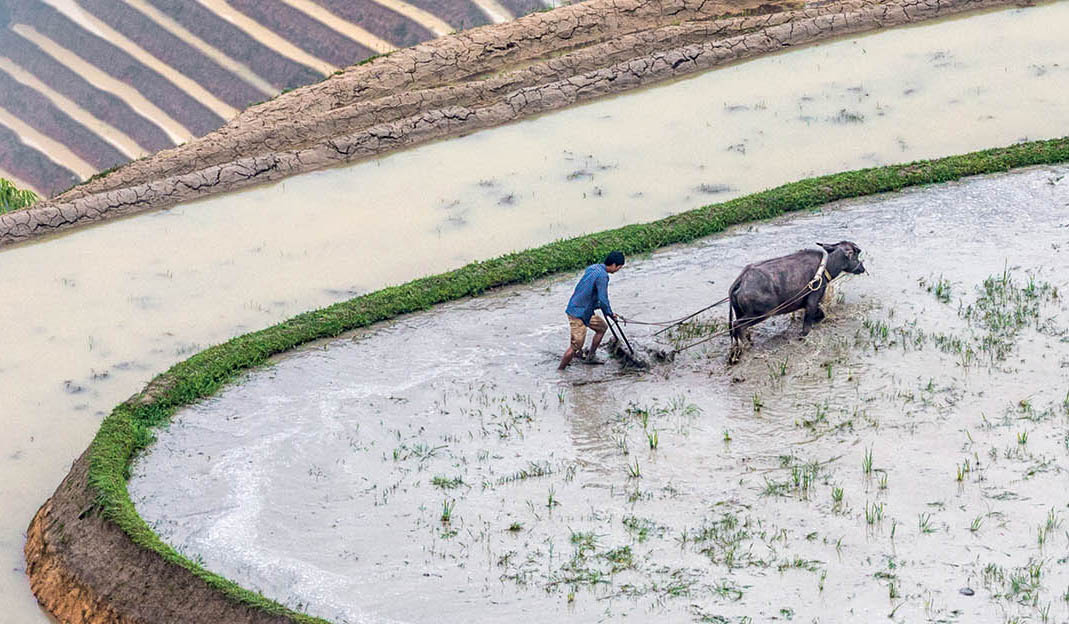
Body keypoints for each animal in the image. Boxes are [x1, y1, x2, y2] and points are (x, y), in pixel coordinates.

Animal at [726, 241, 868, 363]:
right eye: (856, 255)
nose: (862, 268)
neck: (825, 267)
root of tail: (742, 279)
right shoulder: (812, 302)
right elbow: (807, 326)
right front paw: (803, 335)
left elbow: (821, 314)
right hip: (761, 313)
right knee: (737, 325)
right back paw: (746, 347)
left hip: (740, 311)